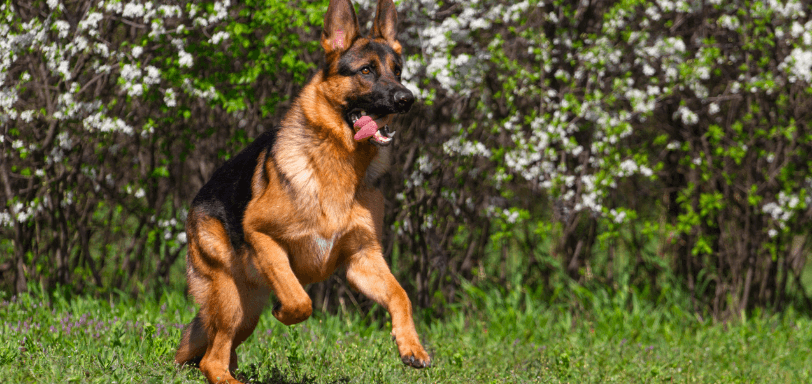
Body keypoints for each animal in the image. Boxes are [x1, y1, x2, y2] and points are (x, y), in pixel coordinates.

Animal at [175, 0, 432, 380]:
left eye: (397, 71)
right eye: (367, 70)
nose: (406, 99)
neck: (340, 165)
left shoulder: (363, 258)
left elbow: (401, 295)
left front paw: (411, 346)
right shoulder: (262, 235)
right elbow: (301, 301)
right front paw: (284, 312)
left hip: (246, 313)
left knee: (216, 353)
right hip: (232, 300)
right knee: (212, 359)